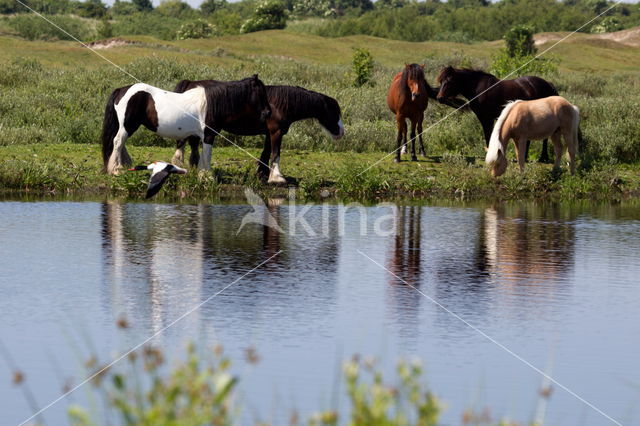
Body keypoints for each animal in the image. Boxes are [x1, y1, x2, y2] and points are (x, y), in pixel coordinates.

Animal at [102, 75, 270, 175]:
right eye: (261, 91)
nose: (268, 112)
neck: (211, 104)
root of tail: (121, 90)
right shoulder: (208, 135)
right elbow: (207, 156)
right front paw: (207, 176)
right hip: (128, 125)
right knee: (118, 141)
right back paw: (116, 169)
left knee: (119, 143)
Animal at [171, 82, 344, 184]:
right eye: (335, 112)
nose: (341, 132)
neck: (279, 104)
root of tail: (189, 84)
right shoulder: (276, 132)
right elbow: (275, 153)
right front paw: (277, 178)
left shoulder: (270, 133)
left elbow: (266, 154)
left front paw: (262, 174)